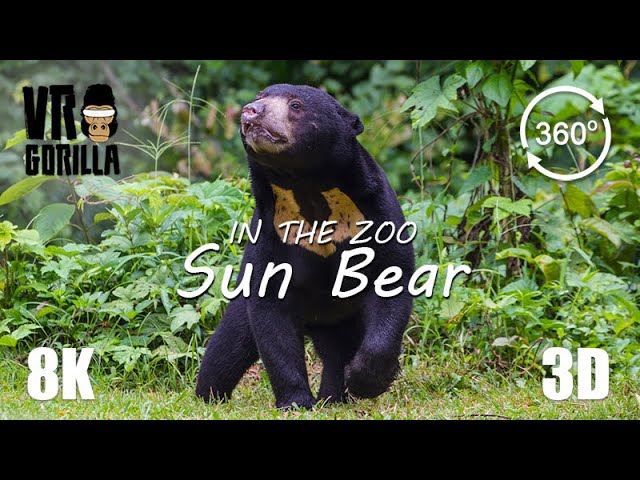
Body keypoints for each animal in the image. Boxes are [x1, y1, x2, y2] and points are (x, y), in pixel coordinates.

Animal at [196, 84, 415, 409]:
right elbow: (272, 316)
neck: (306, 185)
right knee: (227, 345)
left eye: (296, 105)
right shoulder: (271, 230)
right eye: (259, 98)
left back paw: (335, 396)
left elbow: (390, 279)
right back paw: (209, 395)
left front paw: (366, 381)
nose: (251, 111)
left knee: (337, 353)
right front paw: (296, 401)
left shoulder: (376, 211)